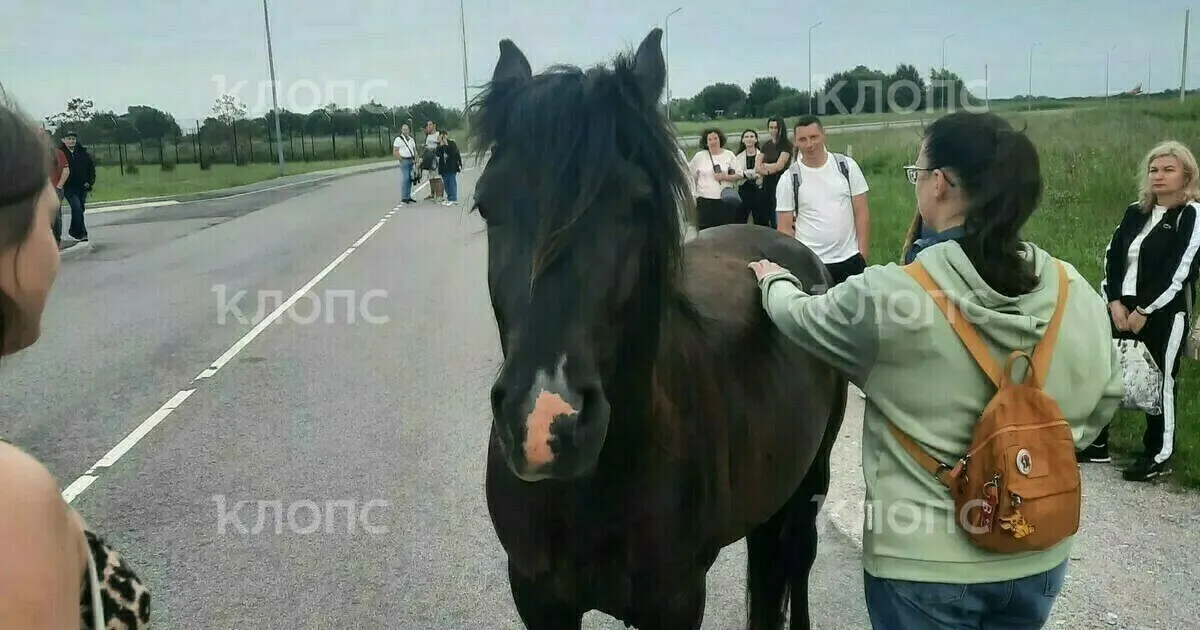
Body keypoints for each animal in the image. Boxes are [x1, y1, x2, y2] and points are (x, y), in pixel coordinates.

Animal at [467, 27, 848, 630]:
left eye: (637, 203)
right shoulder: (536, 596)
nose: (544, 423)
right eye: (486, 205)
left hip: (811, 484)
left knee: (795, 563)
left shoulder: (675, 601)